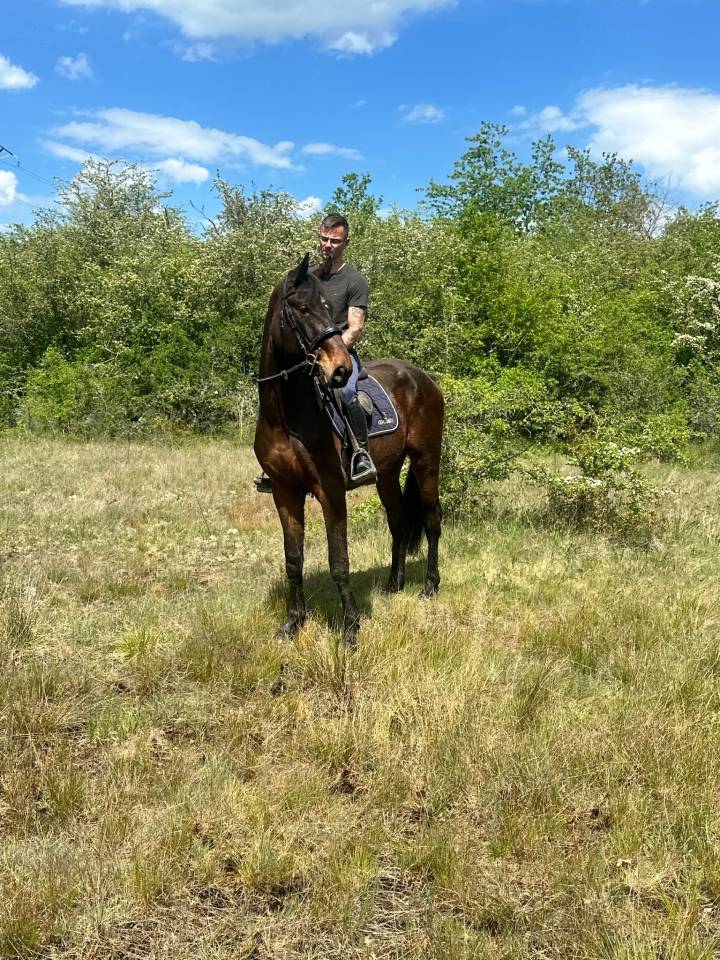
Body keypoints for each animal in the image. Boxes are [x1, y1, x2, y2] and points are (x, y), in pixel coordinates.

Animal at [254, 254, 444, 646]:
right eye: (302, 308)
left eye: (329, 309)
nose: (339, 370)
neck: (286, 417)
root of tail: (426, 379)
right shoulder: (283, 492)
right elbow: (293, 560)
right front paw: (293, 623)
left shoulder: (330, 491)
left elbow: (338, 561)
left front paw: (351, 628)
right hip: (387, 473)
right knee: (399, 522)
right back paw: (393, 584)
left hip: (426, 462)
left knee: (432, 521)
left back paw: (430, 586)